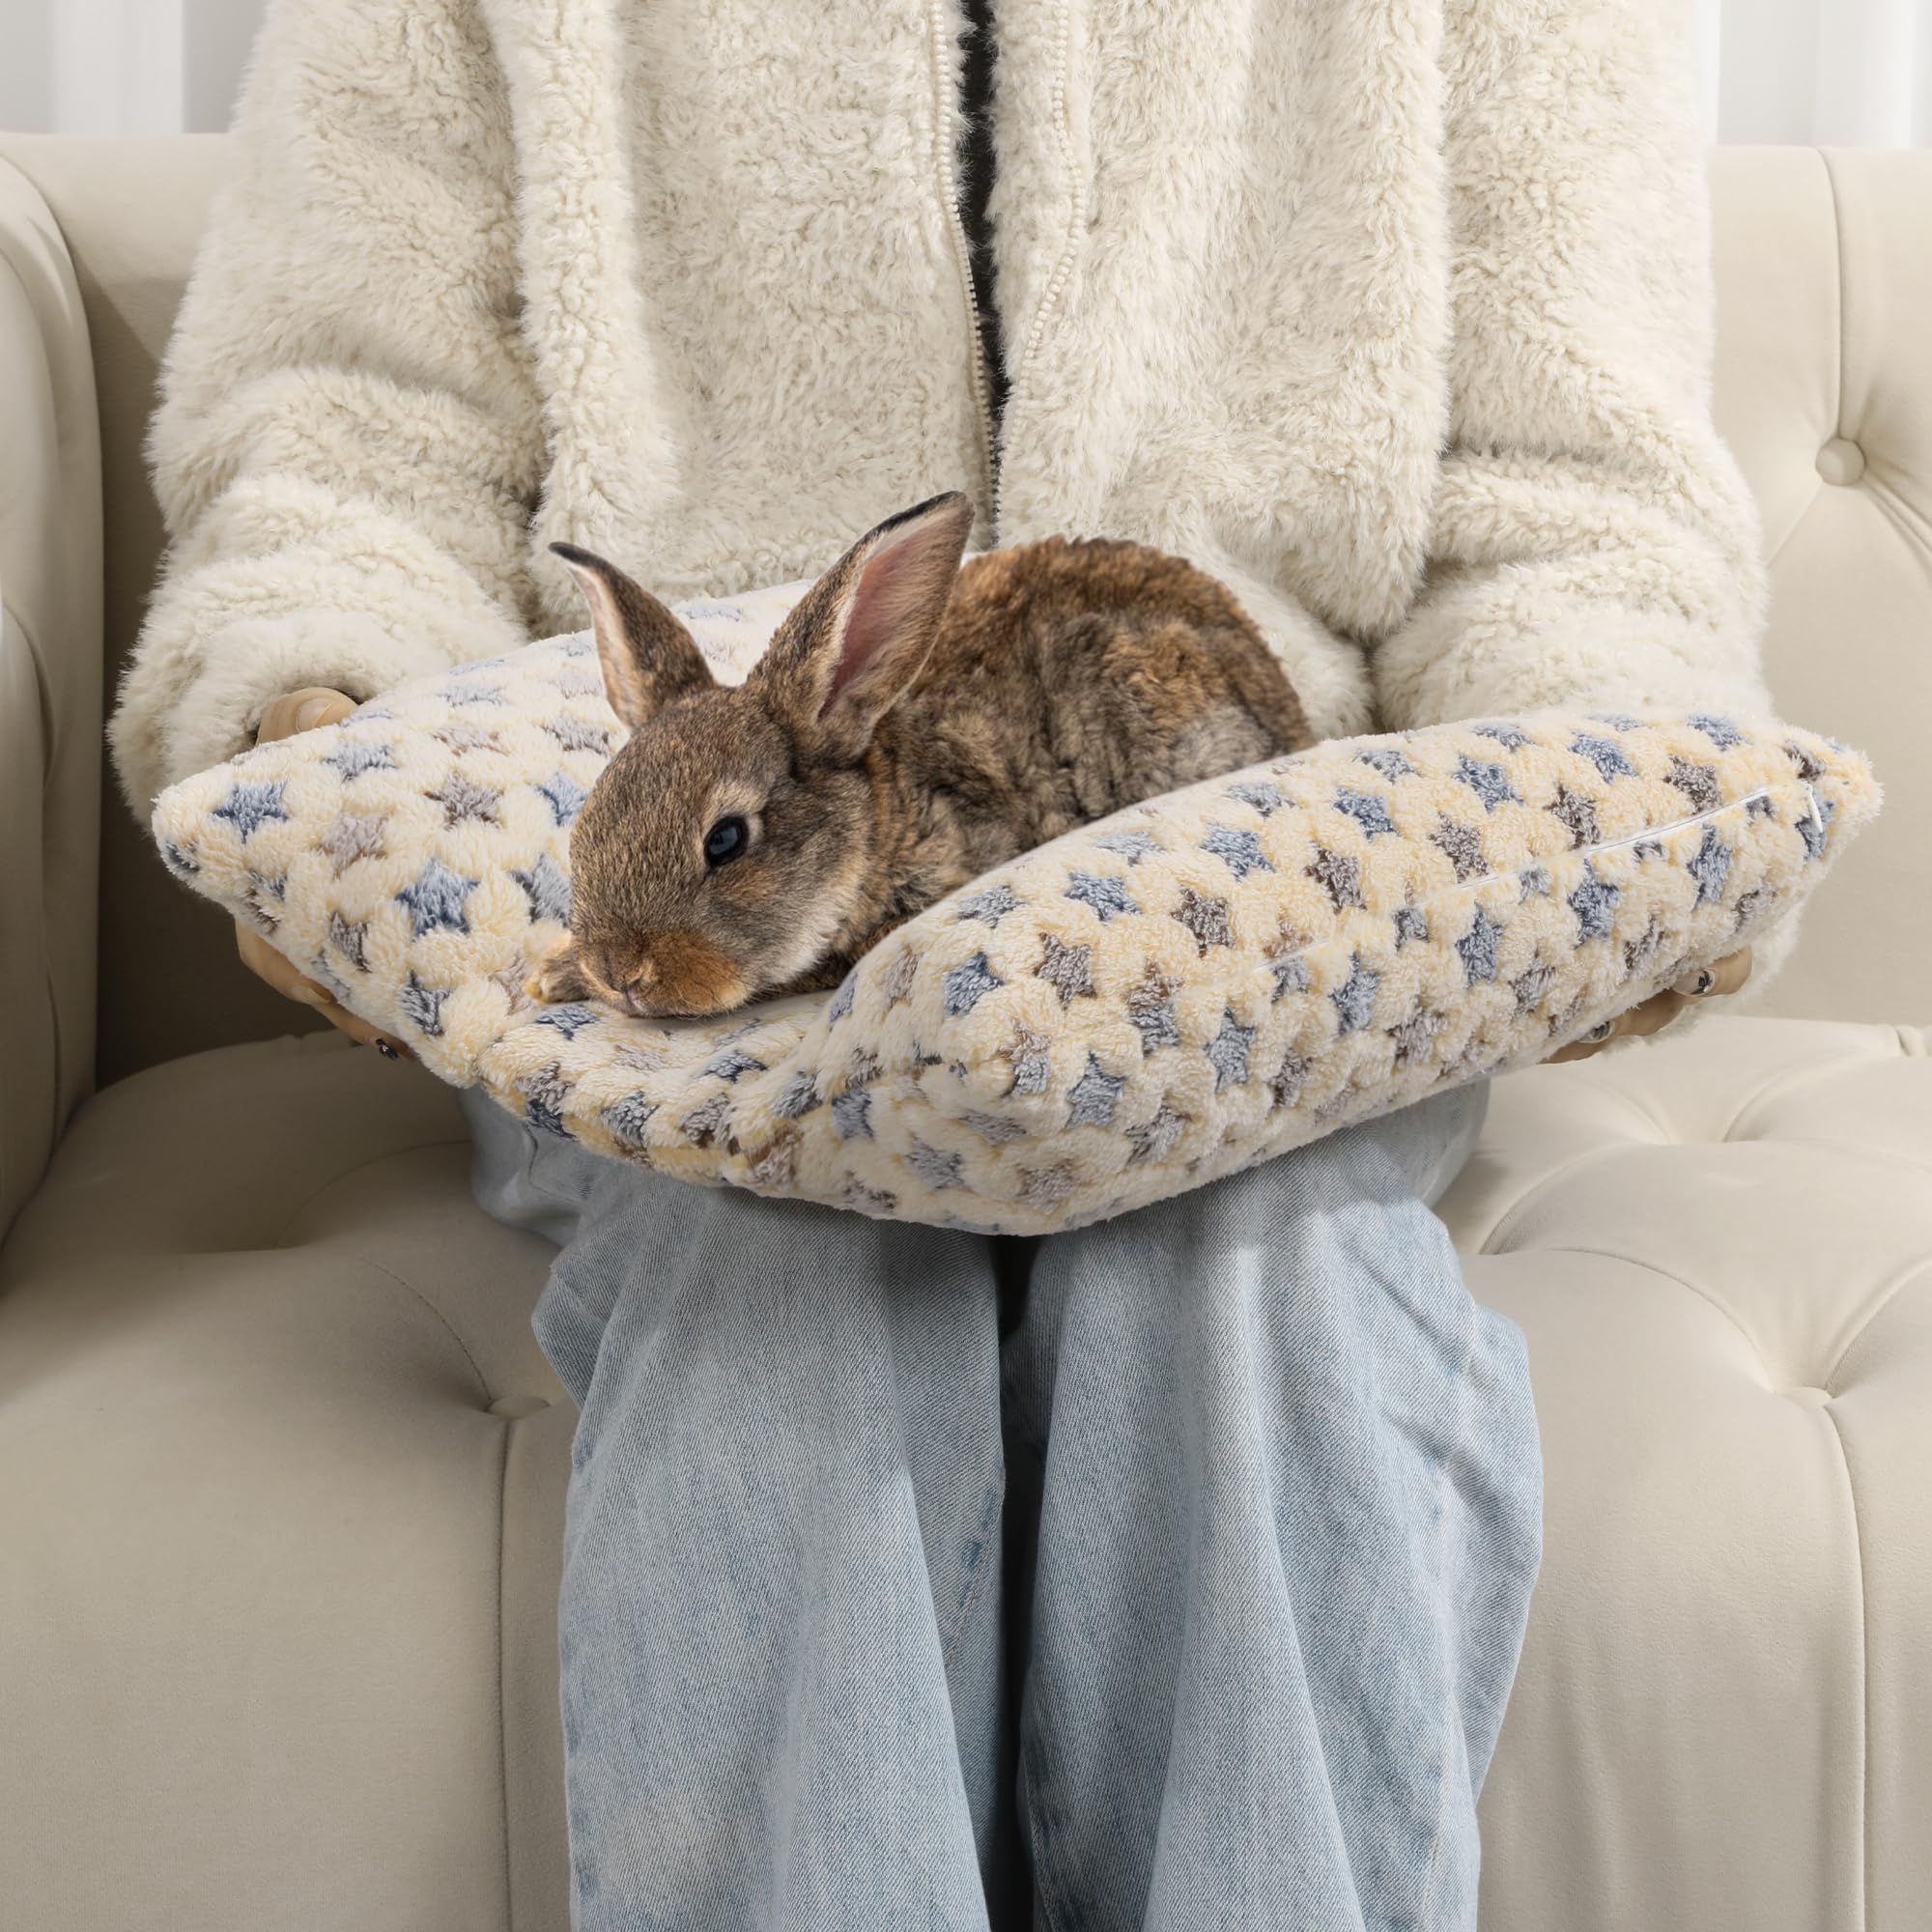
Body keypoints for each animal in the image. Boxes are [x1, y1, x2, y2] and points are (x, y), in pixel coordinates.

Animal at [529, 491, 1312, 1018]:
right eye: (587, 823)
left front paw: (557, 976)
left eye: (725, 840)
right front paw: (557, 972)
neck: (874, 822)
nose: (620, 971)